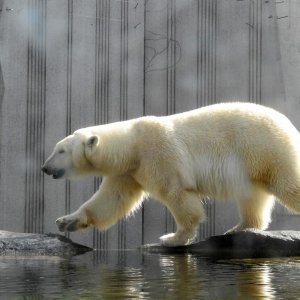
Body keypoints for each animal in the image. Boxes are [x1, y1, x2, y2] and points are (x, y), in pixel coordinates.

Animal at [41, 103, 300, 246]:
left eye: (60, 150)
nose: (44, 167)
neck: (132, 144)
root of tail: (288, 123)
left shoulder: (159, 154)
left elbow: (176, 194)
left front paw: (171, 238)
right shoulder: (129, 171)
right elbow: (111, 200)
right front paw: (67, 221)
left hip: (264, 147)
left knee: (287, 184)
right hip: (252, 163)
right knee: (252, 197)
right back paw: (238, 228)